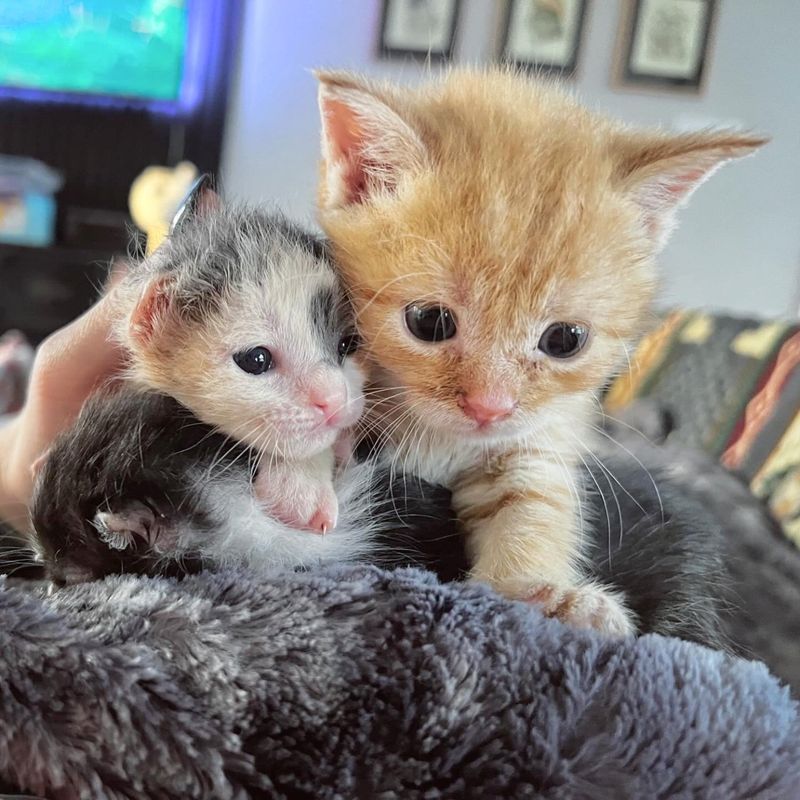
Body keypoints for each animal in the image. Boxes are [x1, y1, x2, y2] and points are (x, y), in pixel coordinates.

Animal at [316, 65, 764, 636]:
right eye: (429, 322)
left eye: (564, 340)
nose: (488, 407)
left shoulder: (539, 436)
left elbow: (534, 502)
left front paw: (539, 593)